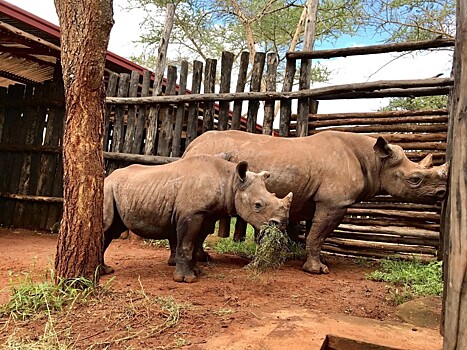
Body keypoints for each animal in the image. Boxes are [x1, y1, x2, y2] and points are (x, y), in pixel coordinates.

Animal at [103, 154, 292, 284]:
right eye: (258, 205)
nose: (281, 225)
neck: (231, 181)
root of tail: (107, 177)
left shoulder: (206, 215)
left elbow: (196, 243)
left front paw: (196, 271)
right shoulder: (192, 213)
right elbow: (187, 244)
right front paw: (186, 280)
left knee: (111, 230)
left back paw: (105, 270)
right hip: (107, 189)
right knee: (107, 228)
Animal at [184, 130, 450, 274]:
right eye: (415, 179)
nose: (442, 194)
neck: (376, 161)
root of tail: (192, 144)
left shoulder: (322, 201)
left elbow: (316, 233)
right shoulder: (335, 202)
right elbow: (318, 235)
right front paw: (317, 270)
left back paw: (203, 258)